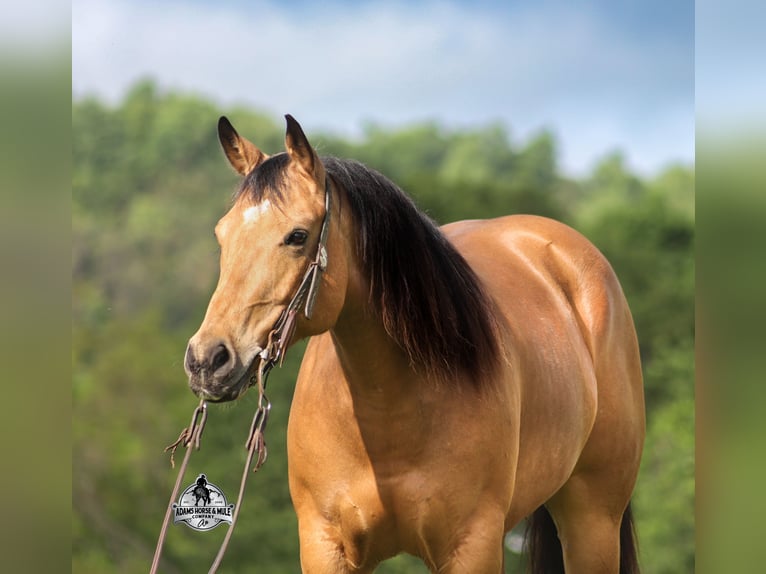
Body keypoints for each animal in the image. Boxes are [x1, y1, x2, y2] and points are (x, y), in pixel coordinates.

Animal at [183, 115, 645, 573]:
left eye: (297, 236)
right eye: (222, 235)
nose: (207, 359)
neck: (388, 409)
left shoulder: (472, 548)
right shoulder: (325, 546)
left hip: (592, 522)